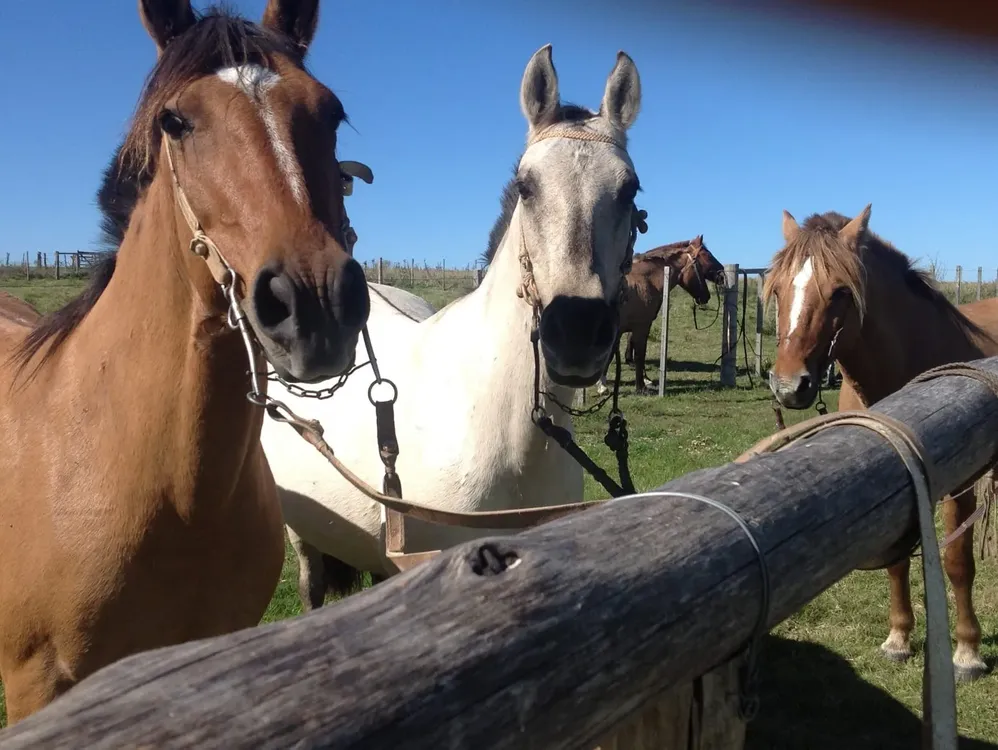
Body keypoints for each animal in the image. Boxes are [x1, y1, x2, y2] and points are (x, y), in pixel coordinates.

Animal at [597, 236, 725, 394]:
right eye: (707, 255)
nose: (722, 274)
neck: (645, 281)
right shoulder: (640, 327)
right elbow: (639, 355)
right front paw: (640, 387)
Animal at [764, 204, 998, 682]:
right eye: (777, 289)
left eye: (840, 292)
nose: (788, 386)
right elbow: (895, 562)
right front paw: (899, 639)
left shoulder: (960, 485)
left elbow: (958, 562)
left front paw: (967, 652)